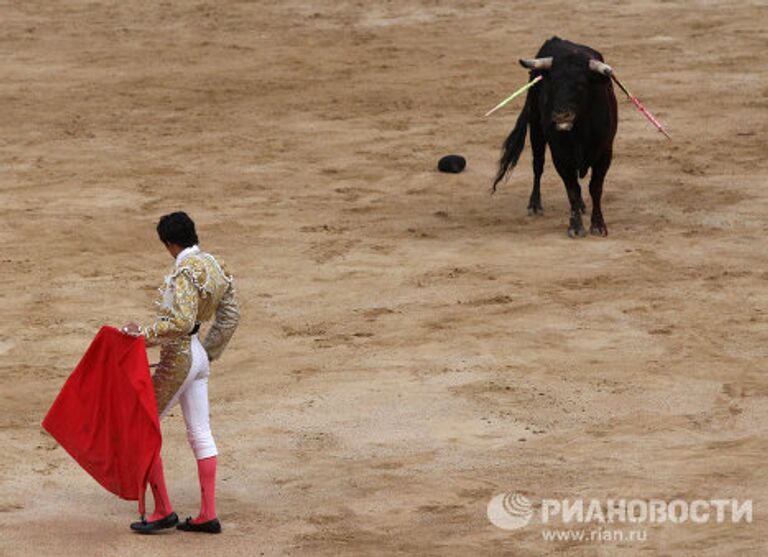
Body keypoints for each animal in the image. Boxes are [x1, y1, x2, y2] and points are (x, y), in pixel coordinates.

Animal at [492, 36, 616, 237]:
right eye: (553, 84)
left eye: (581, 84)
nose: (561, 115)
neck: (580, 131)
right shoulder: (560, 156)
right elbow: (572, 189)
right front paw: (576, 227)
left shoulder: (605, 152)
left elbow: (595, 187)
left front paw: (598, 225)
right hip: (536, 128)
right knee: (538, 165)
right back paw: (535, 205)